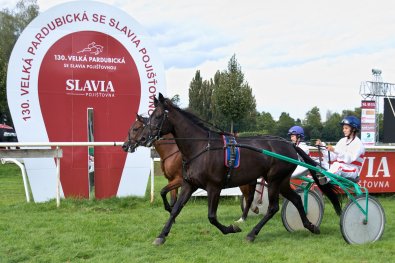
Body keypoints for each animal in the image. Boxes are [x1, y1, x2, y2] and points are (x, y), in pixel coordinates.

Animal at [123, 115, 256, 221]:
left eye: (135, 128)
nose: (125, 145)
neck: (173, 150)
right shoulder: (171, 180)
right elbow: (172, 198)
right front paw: (172, 214)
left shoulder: (180, 180)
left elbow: (163, 191)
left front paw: (170, 211)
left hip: (244, 180)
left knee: (248, 197)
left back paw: (243, 217)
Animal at [138, 94, 340, 245]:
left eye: (157, 116)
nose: (143, 138)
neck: (201, 147)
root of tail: (289, 144)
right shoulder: (188, 184)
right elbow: (175, 210)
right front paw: (161, 236)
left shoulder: (214, 187)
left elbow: (211, 216)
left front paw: (231, 228)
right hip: (281, 181)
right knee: (297, 199)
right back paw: (310, 225)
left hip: (274, 180)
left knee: (273, 207)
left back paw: (252, 234)